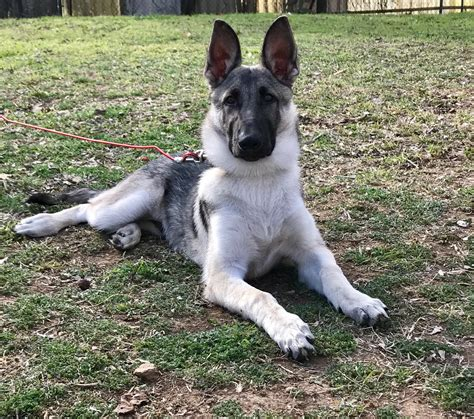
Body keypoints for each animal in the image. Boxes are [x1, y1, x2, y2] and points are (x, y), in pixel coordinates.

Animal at [14, 18, 386, 360]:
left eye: (268, 98)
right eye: (230, 101)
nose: (248, 142)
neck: (257, 182)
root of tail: (166, 159)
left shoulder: (311, 253)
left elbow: (334, 274)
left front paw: (359, 300)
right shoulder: (222, 274)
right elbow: (262, 296)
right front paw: (288, 328)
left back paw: (128, 234)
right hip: (123, 204)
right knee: (86, 207)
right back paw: (43, 223)